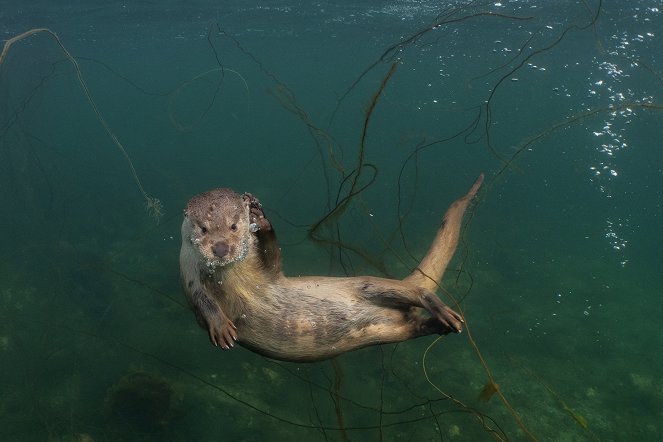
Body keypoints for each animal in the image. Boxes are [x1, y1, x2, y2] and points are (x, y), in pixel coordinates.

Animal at [179, 175, 486, 362]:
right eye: (203, 228)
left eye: (234, 226)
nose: (220, 248)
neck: (233, 278)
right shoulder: (188, 274)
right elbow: (201, 301)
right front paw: (220, 327)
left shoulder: (269, 275)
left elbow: (274, 262)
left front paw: (261, 218)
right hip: (391, 332)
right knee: (412, 325)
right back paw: (438, 325)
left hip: (369, 285)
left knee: (415, 292)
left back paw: (443, 312)